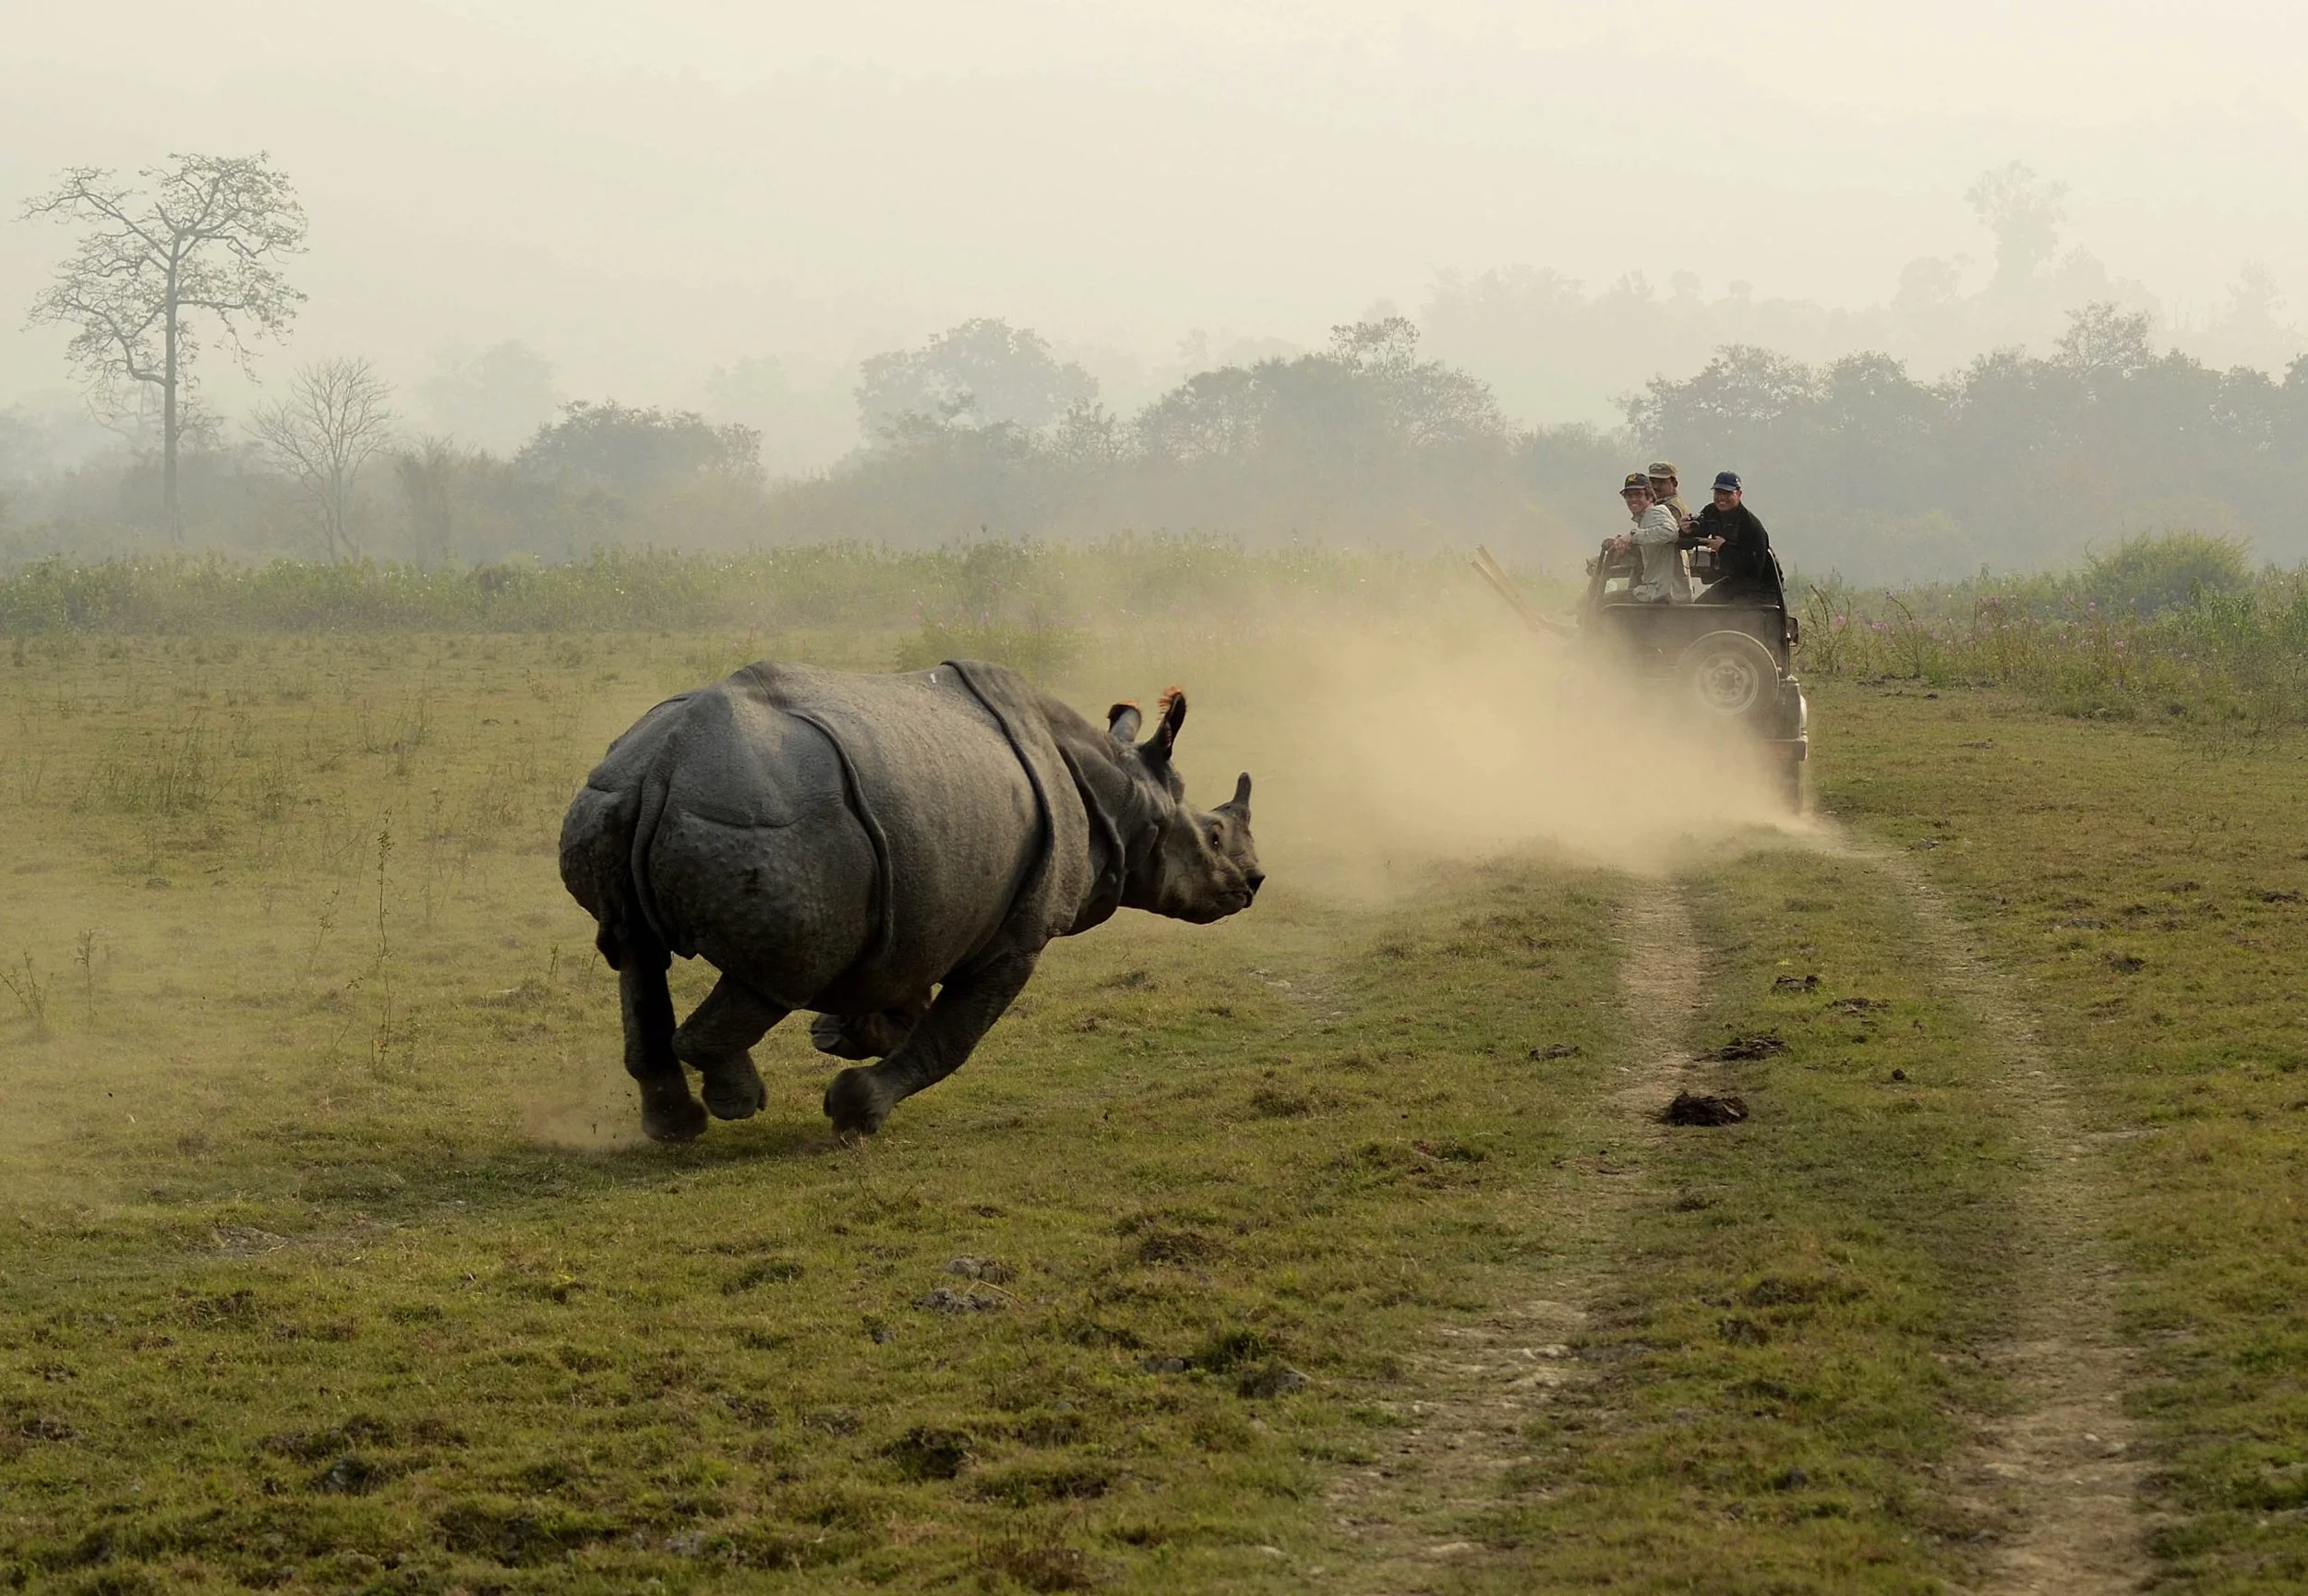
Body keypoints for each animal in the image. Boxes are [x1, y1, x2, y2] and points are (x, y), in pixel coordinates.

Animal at [559, 659, 1262, 1142]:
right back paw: (740, 1104)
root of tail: (665, 759)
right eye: (1214, 836)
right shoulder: (1021, 935)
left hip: (613, 794)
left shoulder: (917, 903)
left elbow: (904, 995)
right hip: (782, 832)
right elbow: (955, 1035)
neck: (1125, 794)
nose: (1253, 884)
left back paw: (677, 1123)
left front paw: (842, 1035)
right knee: (774, 976)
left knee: (634, 952)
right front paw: (854, 1109)